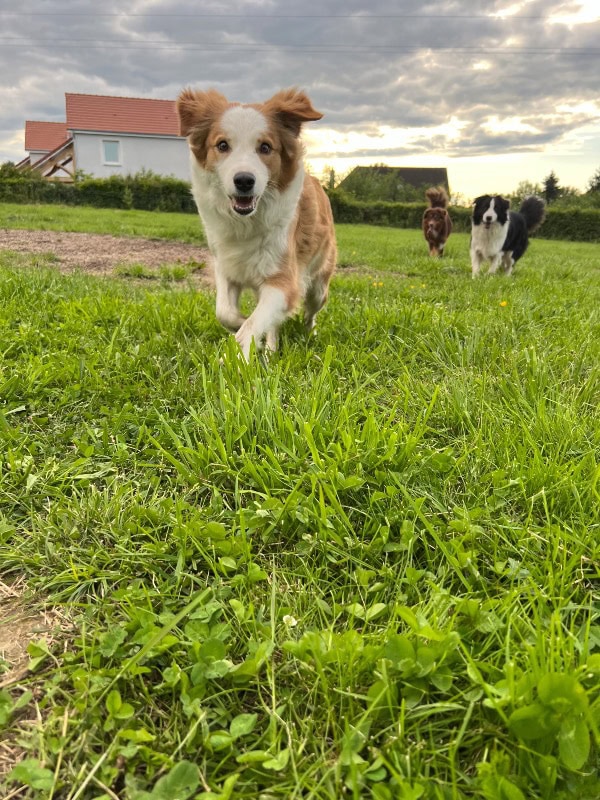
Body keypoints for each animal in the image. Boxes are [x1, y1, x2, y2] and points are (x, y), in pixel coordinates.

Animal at [177, 86, 338, 358]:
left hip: (318, 284)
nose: (244, 180)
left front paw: (236, 356)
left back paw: (308, 333)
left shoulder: (283, 280)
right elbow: (226, 313)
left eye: (265, 147)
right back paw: (272, 347)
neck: (246, 222)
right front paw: (243, 325)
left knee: (312, 311)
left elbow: (252, 325)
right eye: (222, 145)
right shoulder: (227, 266)